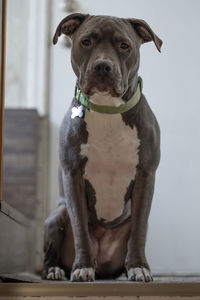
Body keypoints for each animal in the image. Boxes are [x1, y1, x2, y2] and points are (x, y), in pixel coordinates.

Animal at [42, 12, 162, 282]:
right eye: (86, 42)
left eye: (124, 45)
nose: (103, 66)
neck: (107, 109)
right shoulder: (73, 175)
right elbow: (80, 229)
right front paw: (82, 267)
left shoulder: (146, 175)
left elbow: (139, 230)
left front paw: (139, 267)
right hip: (56, 215)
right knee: (50, 255)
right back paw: (55, 270)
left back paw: (125, 270)